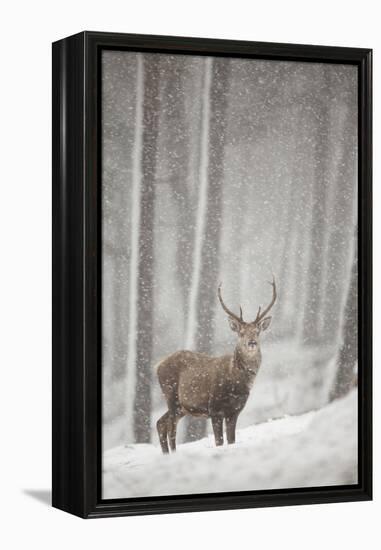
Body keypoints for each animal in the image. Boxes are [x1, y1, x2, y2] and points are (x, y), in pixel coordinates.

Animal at [155, 278, 276, 454]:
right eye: (241, 333)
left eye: (257, 331)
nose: (252, 342)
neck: (236, 382)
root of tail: (157, 366)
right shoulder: (214, 408)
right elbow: (219, 441)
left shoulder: (235, 411)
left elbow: (231, 440)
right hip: (170, 394)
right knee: (171, 428)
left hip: (181, 406)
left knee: (160, 423)